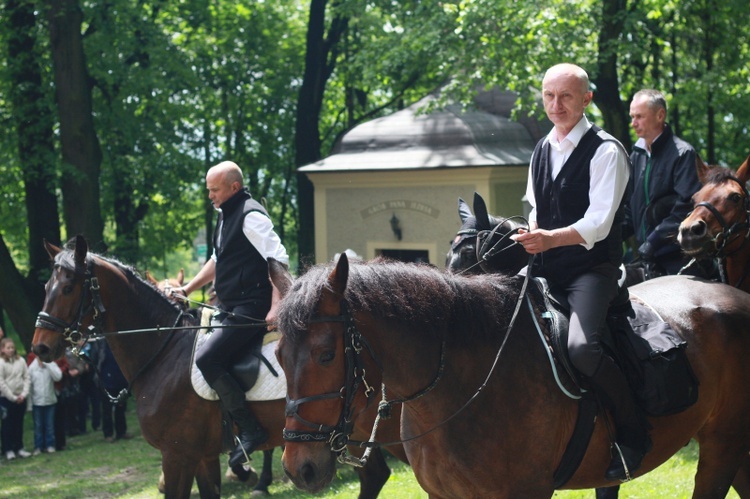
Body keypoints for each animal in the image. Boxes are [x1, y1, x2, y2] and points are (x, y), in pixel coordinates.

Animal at [30, 237, 406, 499]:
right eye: (45, 287)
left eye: (68, 288)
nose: (40, 346)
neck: (165, 353)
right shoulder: (202, 456)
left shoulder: (177, 455)